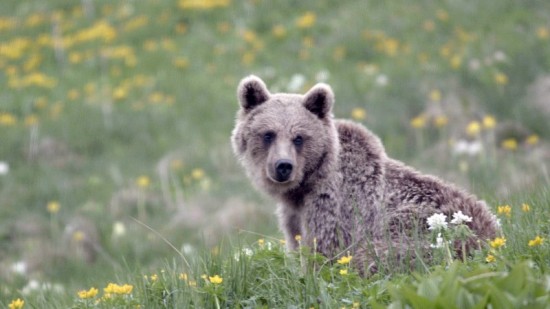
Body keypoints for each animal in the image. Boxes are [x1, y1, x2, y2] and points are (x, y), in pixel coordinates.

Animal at [231, 75, 502, 272]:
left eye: (299, 137)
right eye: (268, 134)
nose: (283, 166)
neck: (306, 185)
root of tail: (492, 239)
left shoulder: (334, 205)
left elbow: (325, 252)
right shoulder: (294, 215)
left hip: (424, 236)